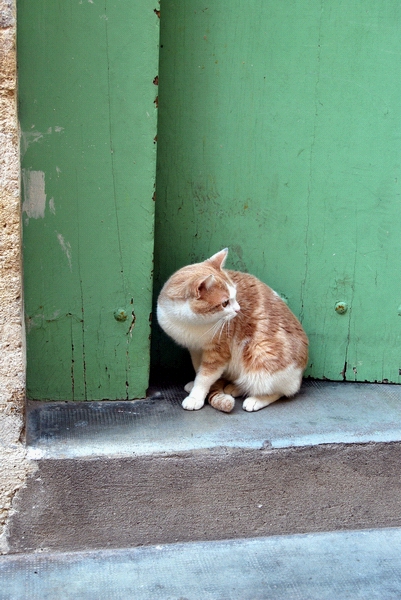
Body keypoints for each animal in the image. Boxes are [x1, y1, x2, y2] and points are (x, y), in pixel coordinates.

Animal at [155, 248, 306, 412]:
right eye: (225, 303)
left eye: (235, 296)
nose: (238, 309)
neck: (191, 323)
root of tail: (300, 374)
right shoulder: (195, 348)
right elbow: (198, 369)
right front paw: (196, 385)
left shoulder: (219, 352)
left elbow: (204, 377)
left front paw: (196, 397)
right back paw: (235, 388)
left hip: (261, 356)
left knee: (279, 391)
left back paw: (256, 399)